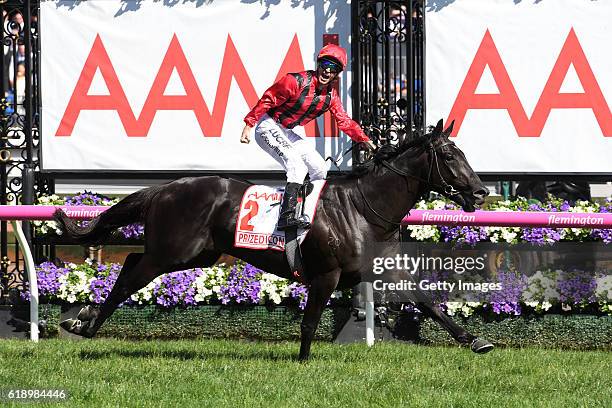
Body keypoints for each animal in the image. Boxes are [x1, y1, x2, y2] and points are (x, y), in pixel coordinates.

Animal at [55, 120, 494, 360]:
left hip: (196, 255)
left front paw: (475, 341)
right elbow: (309, 322)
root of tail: (166, 188)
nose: (479, 192)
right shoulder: (326, 275)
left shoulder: (382, 269)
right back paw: (85, 326)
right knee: (130, 275)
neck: (363, 208)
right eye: (450, 156)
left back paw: (85, 317)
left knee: (130, 264)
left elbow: (428, 302)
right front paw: (302, 362)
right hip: (172, 252)